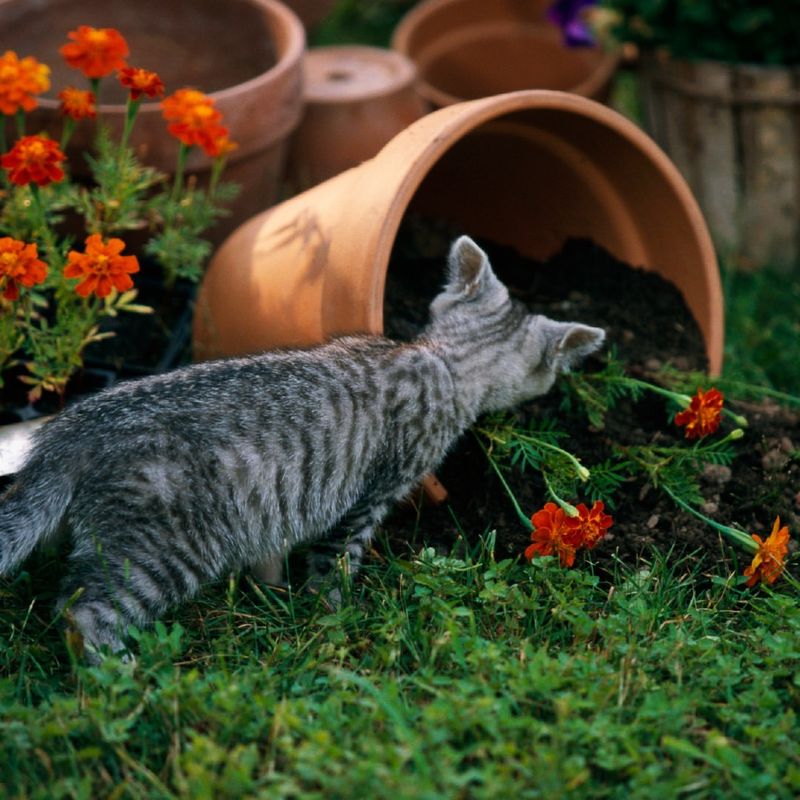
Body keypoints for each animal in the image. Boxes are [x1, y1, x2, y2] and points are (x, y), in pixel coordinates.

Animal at [0, 238, 604, 664]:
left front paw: (270, 590)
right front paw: (333, 612)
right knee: (83, 610)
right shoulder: (371, 494)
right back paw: (119, 673)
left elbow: (272, 549)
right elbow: (337, 560)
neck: (442, 359)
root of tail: (73, 429)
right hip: (164, 546)